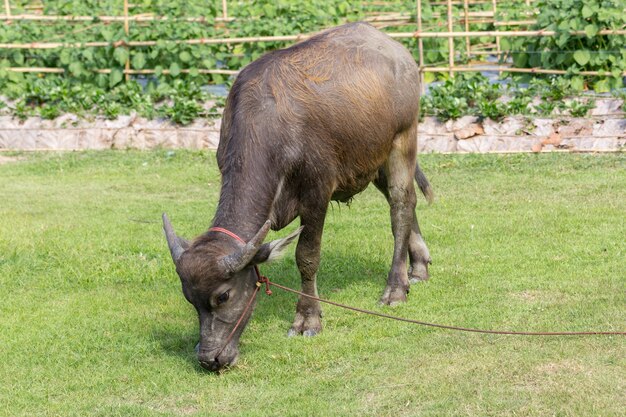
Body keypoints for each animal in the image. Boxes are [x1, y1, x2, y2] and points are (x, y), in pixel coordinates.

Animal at [161, 22, 432, 370]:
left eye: (223, 295)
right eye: (190, 298)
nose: (210, 358)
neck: (271, 126)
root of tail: (398, 52)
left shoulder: (317, 191)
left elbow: (307, 256)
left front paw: (307, 319)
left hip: (402, 138)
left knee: (400, 204)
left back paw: (395, 288)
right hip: (373, 159)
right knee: (404, 202)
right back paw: (419, 266)